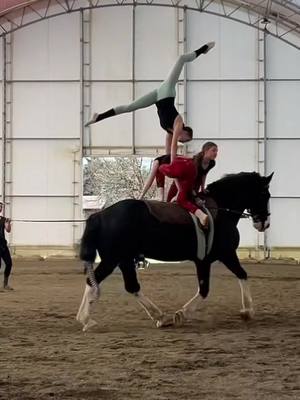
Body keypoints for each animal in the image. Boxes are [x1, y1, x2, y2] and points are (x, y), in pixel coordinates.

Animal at [76, 170, 274, 330]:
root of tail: (100, 215)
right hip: (114, 259)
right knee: (97, 282)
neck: (220, 211)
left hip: (123, 260)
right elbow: (210, 288)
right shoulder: (217, 257)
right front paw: (182, 314)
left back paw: (159, 317)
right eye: (265, 194)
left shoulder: (220, 257)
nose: (264, 223)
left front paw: (247, 311)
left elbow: (240, 275)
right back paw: (87, 319)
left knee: (129, 286)